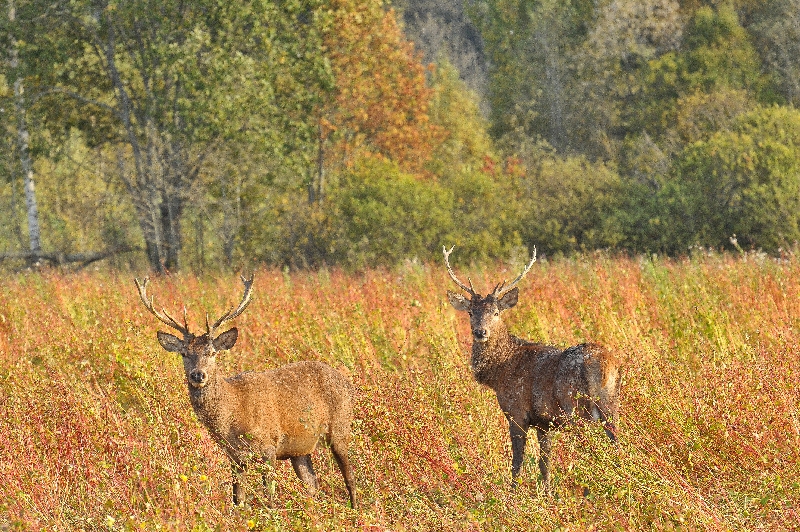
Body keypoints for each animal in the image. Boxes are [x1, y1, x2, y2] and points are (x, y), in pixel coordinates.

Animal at [135, 274, 356, 508]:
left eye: (212, 352)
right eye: (184, 353)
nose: (198, 375)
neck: (233, 415)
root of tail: (347, 382)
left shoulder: (269, 444)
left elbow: (269, 495)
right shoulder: (234, 455)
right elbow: (237, 498)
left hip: (340, 427)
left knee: (349, 477)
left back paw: (355, 509)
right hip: (301, 449)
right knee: (312, 484)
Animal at [444, 247, 620, 492]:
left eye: (496, 312)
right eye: (470, 312)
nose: (480, 332)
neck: (499, 372)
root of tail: (604, 362)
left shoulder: (516, 412)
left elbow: (517, 461)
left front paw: (513, 493)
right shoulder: (544, 423)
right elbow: (544, 464)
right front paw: (547, 493)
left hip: (576, 407)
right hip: (611, 404)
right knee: (616, 444)